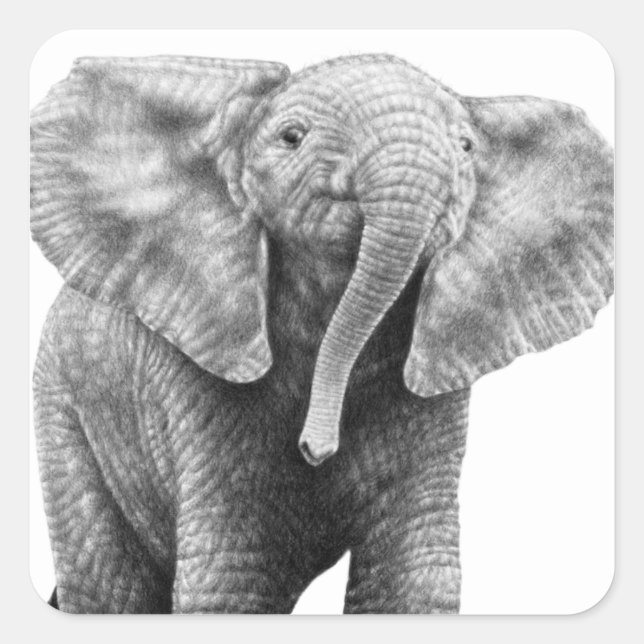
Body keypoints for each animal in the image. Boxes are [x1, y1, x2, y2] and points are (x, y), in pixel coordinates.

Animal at [30, 53, 613, 614]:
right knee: (110, 585)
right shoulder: (198, 377)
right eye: (292, 137)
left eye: (467, 147)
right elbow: (235, 576)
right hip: (62, 410)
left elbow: (413, 574)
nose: (315, 447)